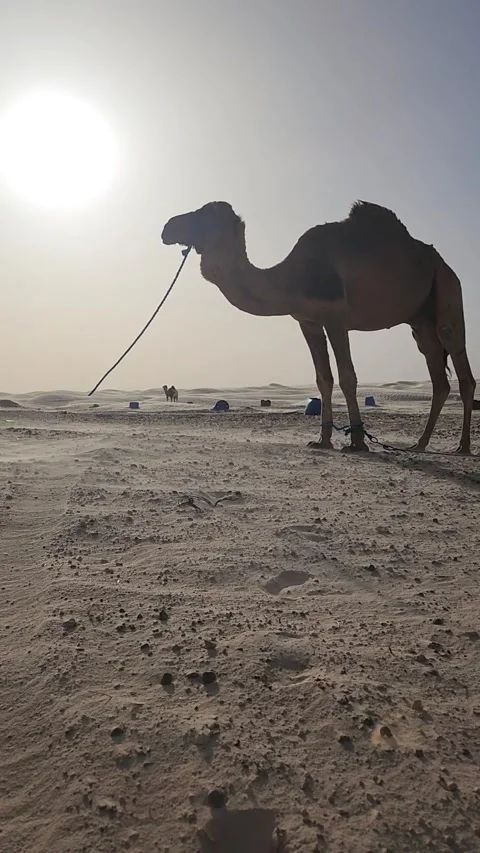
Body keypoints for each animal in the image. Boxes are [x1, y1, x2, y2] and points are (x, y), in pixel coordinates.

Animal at [162, 201, 476, 452]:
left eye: (204, 214)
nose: (167, 227)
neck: (291, 277)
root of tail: (443, 264)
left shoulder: (336, 318)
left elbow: (348, 377)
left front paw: (357, 443)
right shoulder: (308, 322)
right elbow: (323, 378)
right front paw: (323, 440)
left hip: (448, 289)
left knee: (460, 364)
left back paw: (462, 446)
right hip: (419, 321)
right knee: (438, 375)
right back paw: (420, 443)